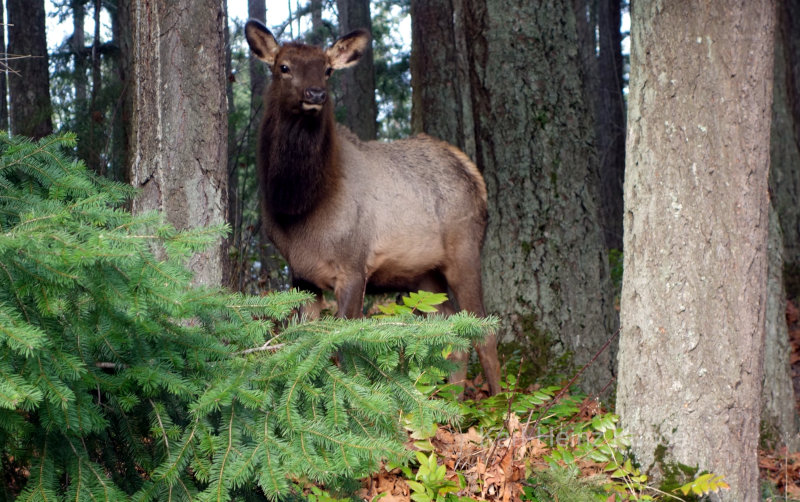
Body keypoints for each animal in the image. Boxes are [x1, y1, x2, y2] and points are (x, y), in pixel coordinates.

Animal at [244, 20, 500, 396]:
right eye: (283, 67)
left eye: (328, 70)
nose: (315, 94)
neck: (299, 207)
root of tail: (473, 174)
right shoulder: (301, 274)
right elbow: (303, 342)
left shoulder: (353, 266)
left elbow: (343, 346)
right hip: (424, 276)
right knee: (451, 331)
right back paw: (451, 401)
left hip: (464, 252)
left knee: (485, 329)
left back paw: (499, 401)